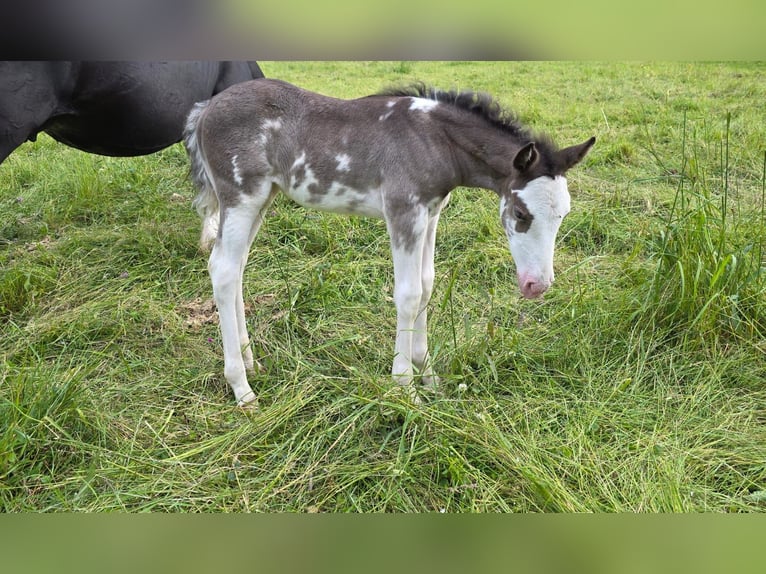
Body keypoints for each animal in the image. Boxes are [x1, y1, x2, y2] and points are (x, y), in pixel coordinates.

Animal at [184, 78, 595, 406]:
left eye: (564, 215)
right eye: (522, 214)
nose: (537, 285)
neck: (435, 140)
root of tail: (204, 110)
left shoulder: (431, 213)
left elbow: (427, 285)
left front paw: (428, 376)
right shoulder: (403, 211)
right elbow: (409, 294)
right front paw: (405, 387)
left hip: (261, 200)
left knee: (236, 269)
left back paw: (250, 361)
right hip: (241, 197)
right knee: (223, 270)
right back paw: (242, 388)